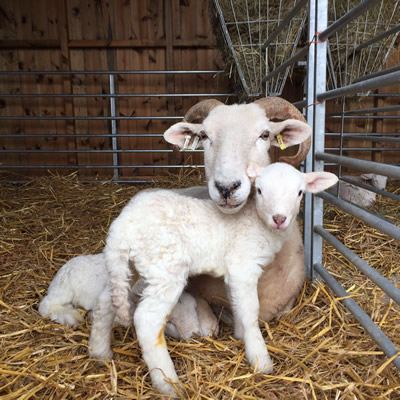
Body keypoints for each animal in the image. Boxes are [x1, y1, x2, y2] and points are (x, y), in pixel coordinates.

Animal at [103, 162, 338, 394]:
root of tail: (122, 225)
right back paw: (168, 384)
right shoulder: (243, 265)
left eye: (299, 192)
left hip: (129, 266)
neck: (256, 221)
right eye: (260, 190)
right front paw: (260, 359)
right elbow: (250, 311)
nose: (279, 219)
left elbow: (237, 304)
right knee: (147, 320)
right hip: (165, 267)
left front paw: (240, 335)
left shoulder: (233, 274)